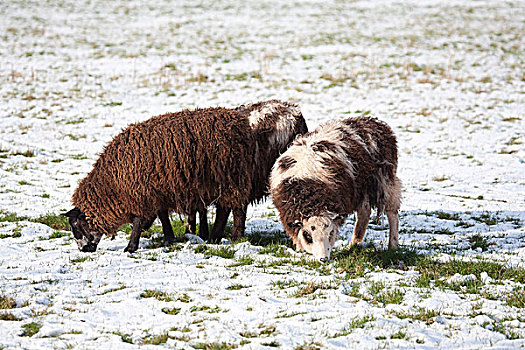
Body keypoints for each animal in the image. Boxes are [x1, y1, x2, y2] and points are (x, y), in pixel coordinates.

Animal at [62, 106, 255, 252]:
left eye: (76, 227)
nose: (83, 250)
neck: (112, 185)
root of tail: (240, 123)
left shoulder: (141, 193)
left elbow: (138, 221)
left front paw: (130, 247)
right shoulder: (157, 191)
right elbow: (162, 216)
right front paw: (168, 238)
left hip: (232, 177)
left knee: (236, 209)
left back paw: (234, 237)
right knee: (225, 208)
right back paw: (214, 237)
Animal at [270, 116, 402, 262]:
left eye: (330, 233)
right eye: (308, 236)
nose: (323, 259)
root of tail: (376, 123)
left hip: (386, 182)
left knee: (392, 212)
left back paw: (393, 245)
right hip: (363, 188)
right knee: (364, 212)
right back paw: (355, 243)